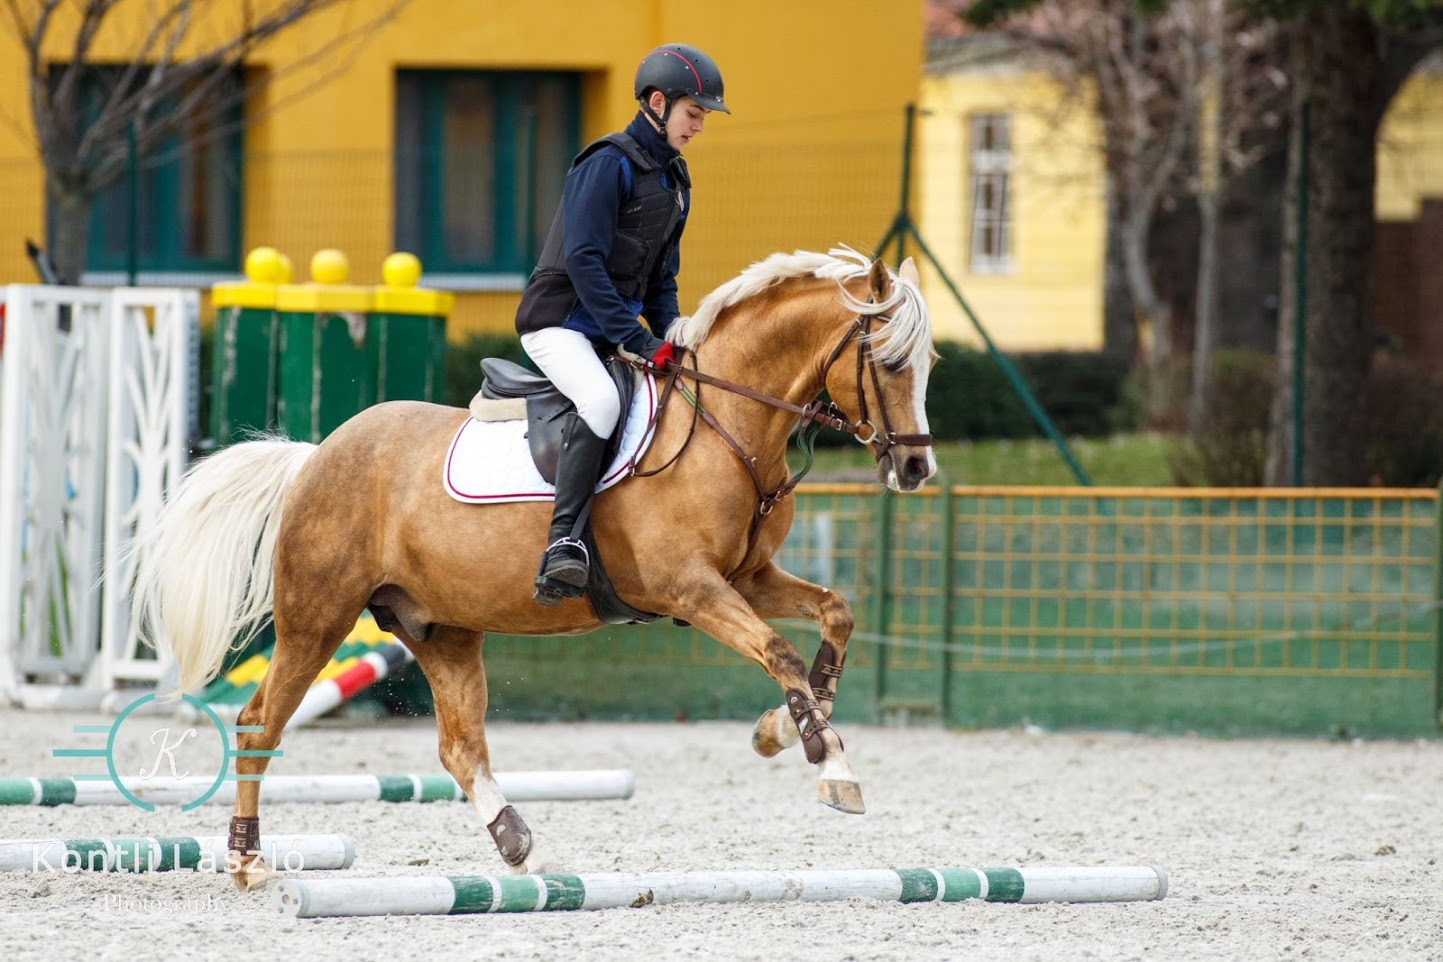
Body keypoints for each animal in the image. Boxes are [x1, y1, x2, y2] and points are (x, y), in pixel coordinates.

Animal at [126, 246, 935, 888]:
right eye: (890, 360)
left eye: (928, 364)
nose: (917, 468)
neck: (725, 427)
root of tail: (315, 456)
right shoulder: (692, 589)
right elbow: (779, 652)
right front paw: (830, 766)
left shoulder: (747, 580)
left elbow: (835, 614)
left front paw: (784, 730)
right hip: (317, 618)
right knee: (258, 723)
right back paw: (248, 861)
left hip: (441, 628)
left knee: (459, 748)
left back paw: (523, 849)